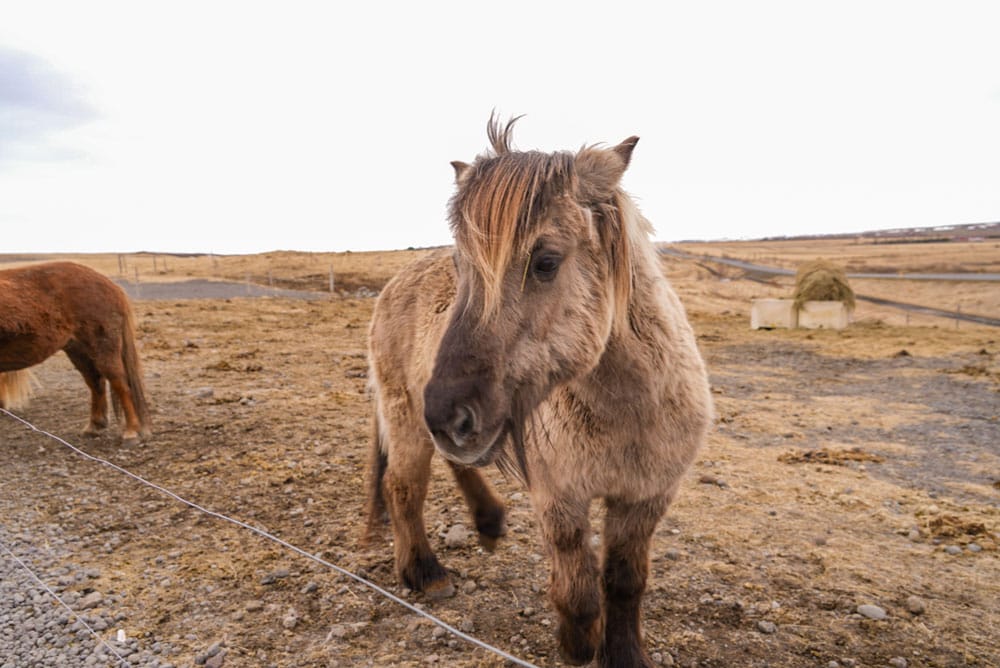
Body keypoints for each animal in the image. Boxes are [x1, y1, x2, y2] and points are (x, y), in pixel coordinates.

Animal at [0, 260, 152, 444]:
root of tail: (112, 286)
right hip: (79, 352)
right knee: (96, 382)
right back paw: (95, 426)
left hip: (103, 349)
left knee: (120, 384)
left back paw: (131, 432)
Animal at [366, 117, 712, 664]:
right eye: (462, 268)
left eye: (545, 262)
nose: (447, 415)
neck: (631, 410)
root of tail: (393, 284)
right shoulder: (560, 498)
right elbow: (578, 593)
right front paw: (578, 645)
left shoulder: (646, 499)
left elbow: (625, 582)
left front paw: (623, 653)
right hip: (407, 421)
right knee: (403, 486)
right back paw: (425, 571)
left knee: (453, 464)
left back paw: (487, 520)